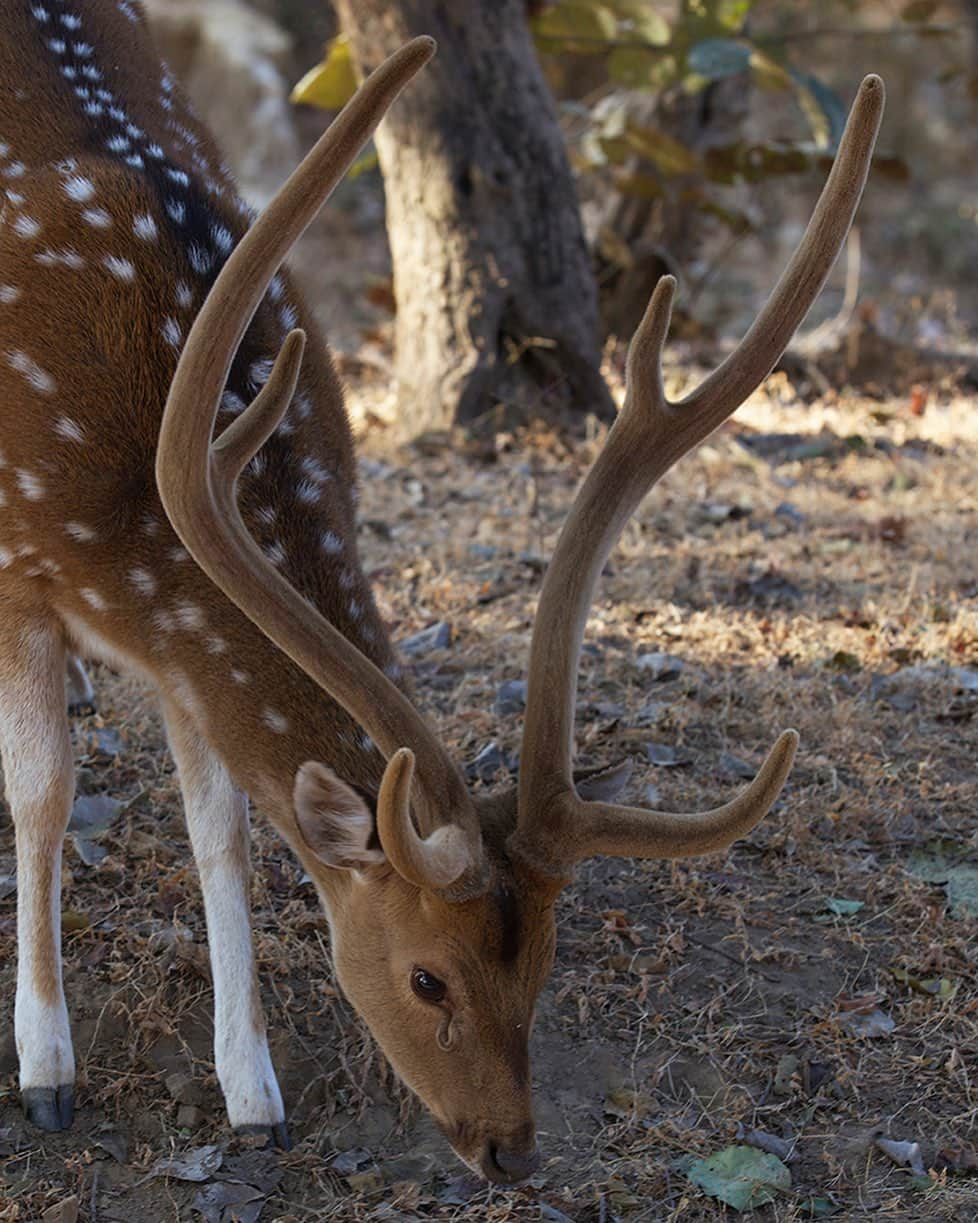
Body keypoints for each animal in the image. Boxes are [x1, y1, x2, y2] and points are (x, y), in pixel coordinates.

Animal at [0, 0, 885, 1183]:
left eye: (545, 959)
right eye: (427, 975)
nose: (512, 1150)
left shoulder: (175, 632)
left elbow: (220, 826)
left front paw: (254, 1095)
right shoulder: (19, 569)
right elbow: (45, 793)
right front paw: (46, 1070)